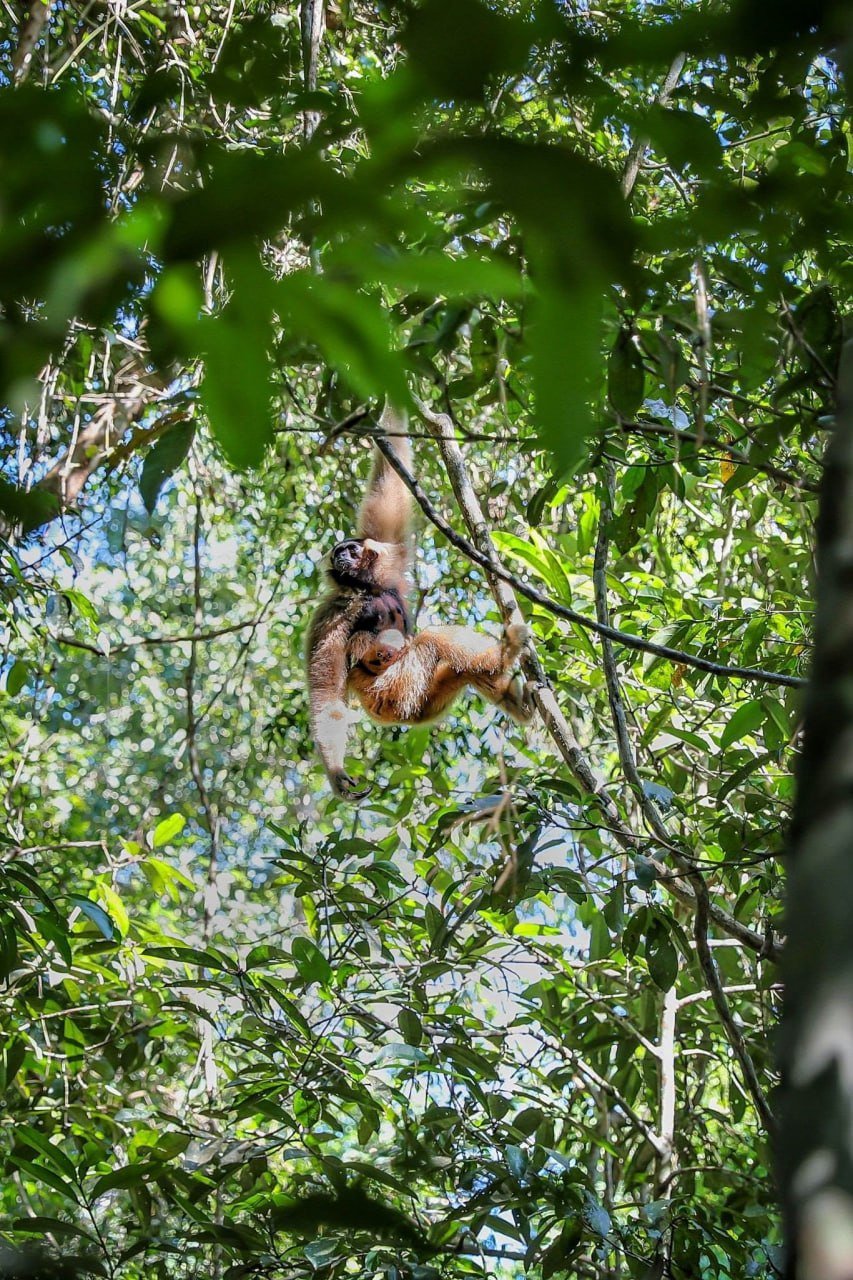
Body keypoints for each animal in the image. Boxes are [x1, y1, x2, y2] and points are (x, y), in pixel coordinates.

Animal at [306, 403, 533, 799]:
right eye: (338, 554)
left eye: (350, 550)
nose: (342, 557)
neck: (367, 590)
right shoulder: (332, 613)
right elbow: (327, 693)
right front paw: (336, 772)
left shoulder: (389, 561)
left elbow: (387, 484)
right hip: (395, 693)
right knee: (432, 641)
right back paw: (506, 654)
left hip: (426, 701)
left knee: (460, 668)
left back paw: (517, 700)